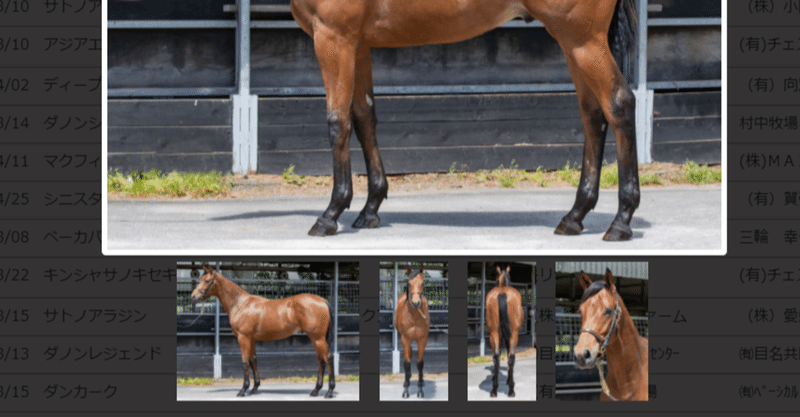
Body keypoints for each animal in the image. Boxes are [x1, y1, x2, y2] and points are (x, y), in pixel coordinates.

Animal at [190, 265, 335, 398]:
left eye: (206, 281)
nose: (193, 297)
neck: (240, 304)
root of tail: (323, 300)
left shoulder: (243, 338)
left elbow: (245, 362)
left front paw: (243, 390)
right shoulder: (251, 339)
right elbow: (253, 360)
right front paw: (254, 388)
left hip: (318, 338)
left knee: (328, 358)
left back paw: (329, 391)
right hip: (316, 339)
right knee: (320, 360)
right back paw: (315, 390)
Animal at [291, 0, 641, 241]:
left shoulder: (334, 39)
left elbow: (338, 123)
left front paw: (331, 213)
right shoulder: (358, 45)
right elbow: (364, 119)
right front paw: (370, 209)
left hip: (583, 40)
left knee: (619, 105)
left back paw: (621, 221)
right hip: (574, 44)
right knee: (593, 115)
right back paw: (574, 216)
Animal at [394, 266, 430, 398]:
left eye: (423, 283)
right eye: (409, 283)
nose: (415, 303)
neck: (414, 317)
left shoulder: (422, 339)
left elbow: (420, 363)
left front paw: (420, 390)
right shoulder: (405, 339)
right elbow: (407, 363)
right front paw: (406, 389)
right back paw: (408, 378)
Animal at [485, 265, 524, 397]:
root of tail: (502, 292)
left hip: (494, 334)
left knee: (496, 357)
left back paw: (494, 390)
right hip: (513, 335)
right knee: (511, 357)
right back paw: (511, 390)